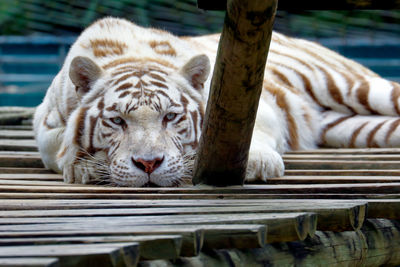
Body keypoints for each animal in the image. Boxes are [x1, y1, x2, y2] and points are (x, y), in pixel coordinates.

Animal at [32, 17, 400, 188]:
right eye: (117, 121)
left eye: (171, 117)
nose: (149, 165)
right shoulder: (45, 122)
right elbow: (58, 145)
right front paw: (81, 166)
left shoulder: (252, 104)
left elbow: (250, 132)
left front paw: (259, 164)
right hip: (356, 129)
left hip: (352, 86)